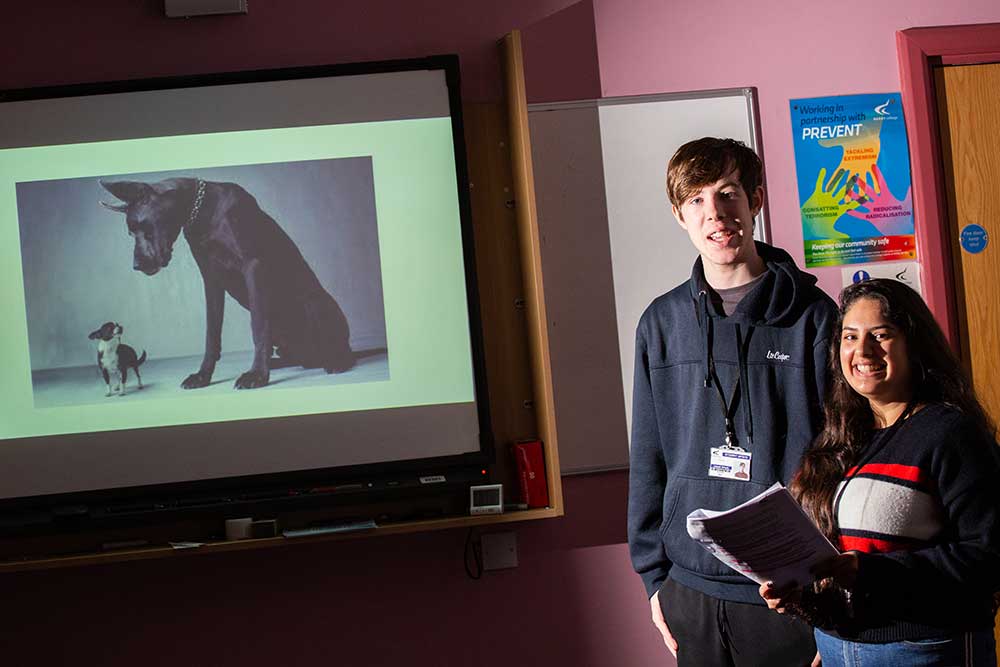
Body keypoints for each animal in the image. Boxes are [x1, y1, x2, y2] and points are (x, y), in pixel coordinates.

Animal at [98, 177, 356, 388]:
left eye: (143, 226)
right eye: (130, 233)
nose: (136, 266)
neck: (201, 211)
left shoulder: (253, 266)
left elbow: (258, 326)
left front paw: (257, 375)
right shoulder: (211, 278)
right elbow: (212, 332)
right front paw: (203, 375)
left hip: (315, 303)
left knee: (340, 348)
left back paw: (337, 360)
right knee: (299, 358)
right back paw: (278, 363)